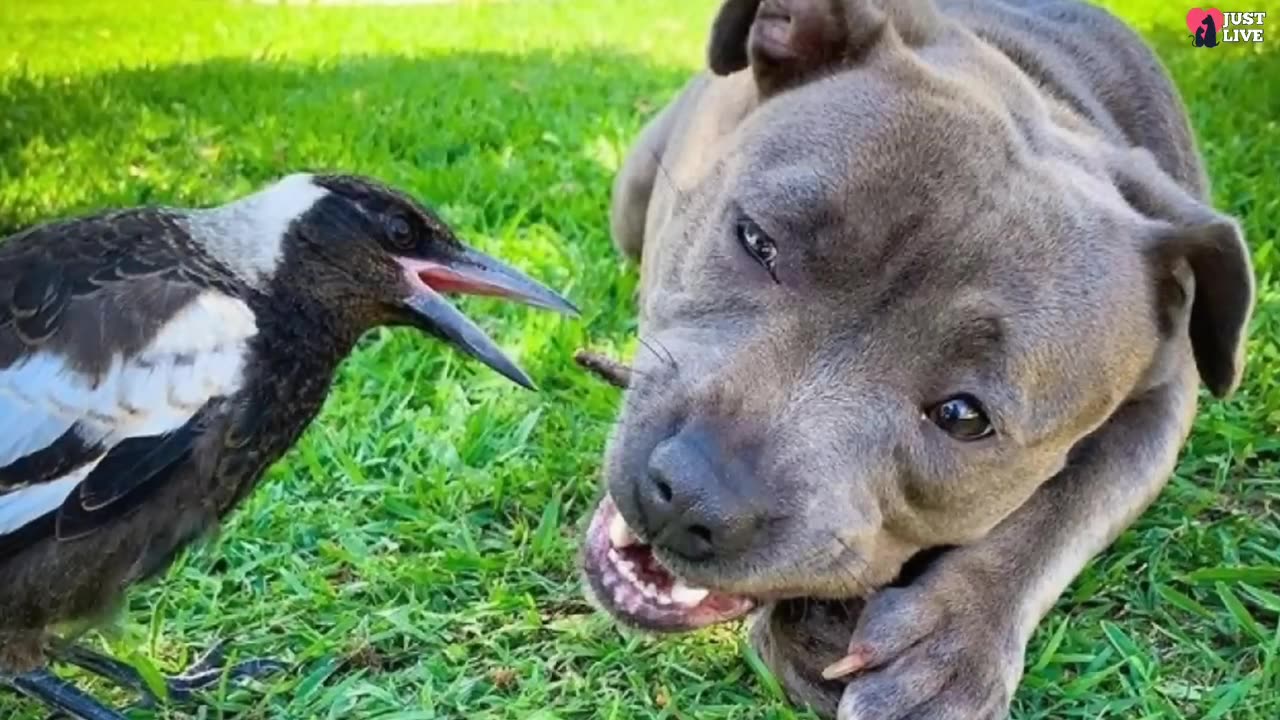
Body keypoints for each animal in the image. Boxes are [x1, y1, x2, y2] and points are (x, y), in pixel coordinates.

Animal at [583, 1, 1259, 717]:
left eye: (964, 416)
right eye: (757, 241)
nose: (689, 494)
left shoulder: (1166, 402)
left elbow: (1064, 509)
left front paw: (952, 642)